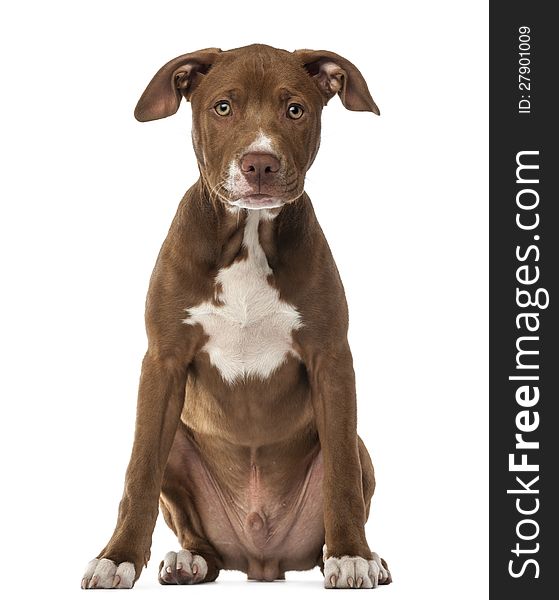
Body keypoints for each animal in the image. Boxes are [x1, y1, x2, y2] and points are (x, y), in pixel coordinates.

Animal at [81, 43, 392, 592]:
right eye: (223, 107)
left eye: (295, 110)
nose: (259, 163)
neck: (247, 234)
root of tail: (262, 562)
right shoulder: (162, 361)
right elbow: (138, 472)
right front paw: (115, 559)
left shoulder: (332, 360)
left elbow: (341, 479)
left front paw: (352, 555)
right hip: (180, 446)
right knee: (194, 529)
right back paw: (188, 561)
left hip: (360, 447)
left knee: (347, 472)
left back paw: (362, 556)